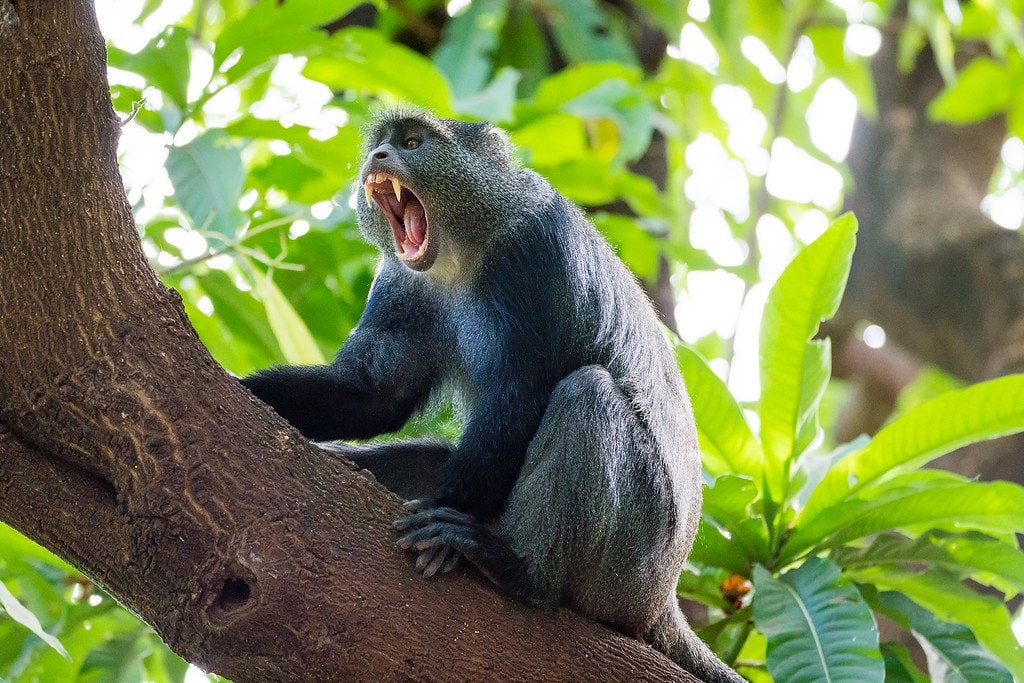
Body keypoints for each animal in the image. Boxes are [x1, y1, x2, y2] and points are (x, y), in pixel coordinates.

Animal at [241, 107, 743, 682]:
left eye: (412, 143)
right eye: (381, 144)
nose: (379, 157)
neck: (465, 250)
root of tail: (662, 600)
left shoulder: (539, 252)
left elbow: (517, 397)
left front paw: (445, 524)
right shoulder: (401, 282)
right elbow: (374, 392)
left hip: (629, 568)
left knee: (588, 393)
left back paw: (520, 570)